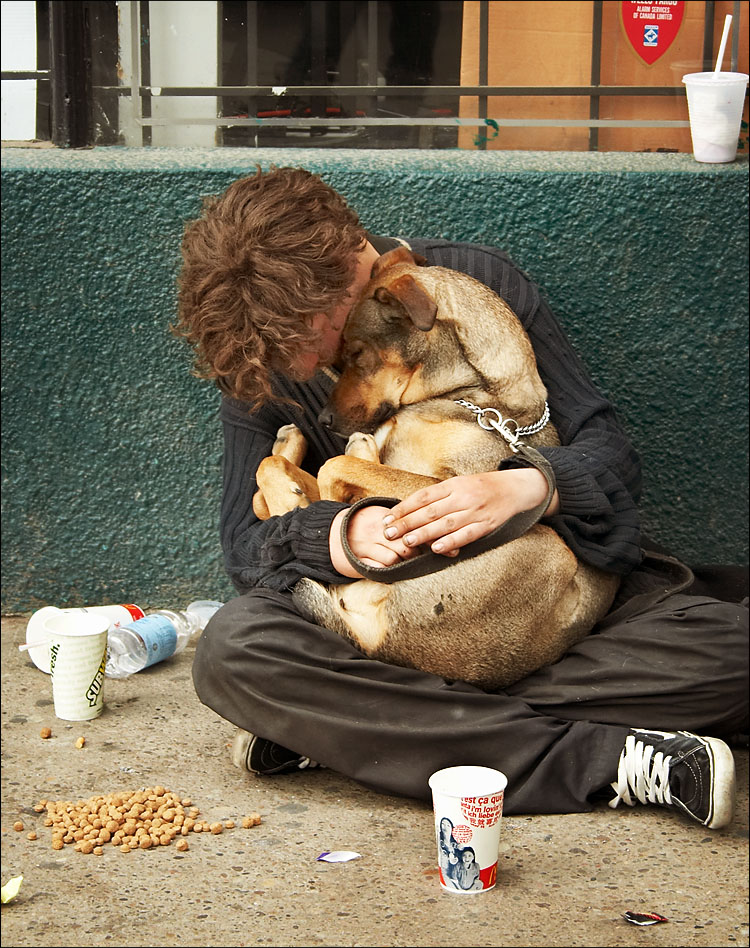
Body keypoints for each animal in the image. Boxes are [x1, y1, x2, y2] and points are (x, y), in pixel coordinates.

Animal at [256, 248, 620, 684]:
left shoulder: (450, 486)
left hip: (546, 546)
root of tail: (383, 644)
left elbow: (333, 467)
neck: (479, 398)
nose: (325, 421)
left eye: (357, 355)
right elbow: (272, 470)